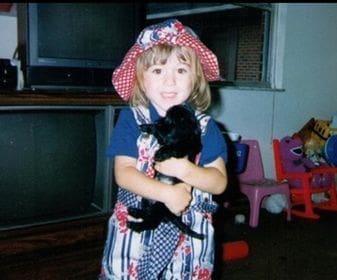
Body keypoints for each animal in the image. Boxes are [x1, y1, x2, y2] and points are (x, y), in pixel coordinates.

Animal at [127, 104, 203, 240]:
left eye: (169, 120)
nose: (158, 121)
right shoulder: (164, 137)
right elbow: (160, 135)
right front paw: (147, 126)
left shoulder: (189, 145)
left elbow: (176, 146)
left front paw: (161, 153)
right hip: (147, 198)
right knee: (147, 213)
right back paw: (135, 212)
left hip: (160, 206)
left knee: (151, 222)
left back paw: (135, 225)